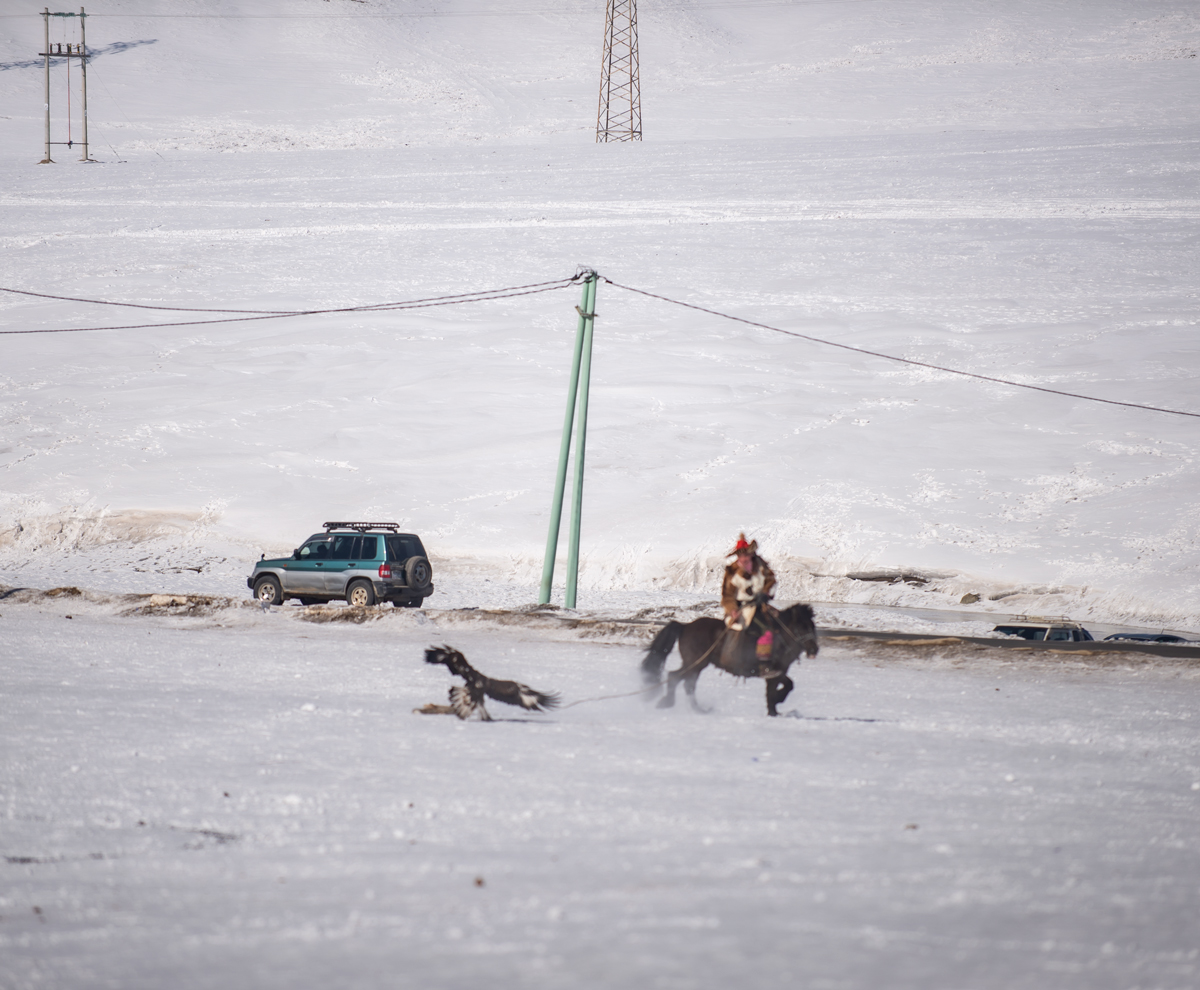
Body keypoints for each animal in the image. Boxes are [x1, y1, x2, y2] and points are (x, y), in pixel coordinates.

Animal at [641, 604, 819, 716]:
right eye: (802, 627)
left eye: (812, 626)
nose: (814, 650)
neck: (779, 638)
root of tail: (686, 626)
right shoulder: (773, 672)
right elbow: (780, 688)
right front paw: (776, 706)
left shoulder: (777, 673)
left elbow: (785, 686)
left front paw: (775, 707)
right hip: (695, 663)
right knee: (675, 677)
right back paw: (668, 703)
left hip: (696, 665)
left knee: (687, 684)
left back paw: (699, 710)